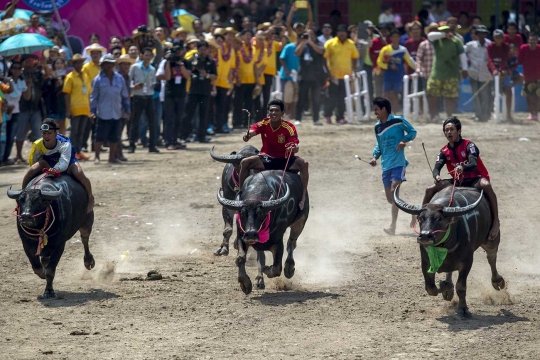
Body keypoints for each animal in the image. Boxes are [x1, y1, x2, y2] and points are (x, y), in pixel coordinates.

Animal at [392, 186, 506, 318]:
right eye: (420, 218)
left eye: (439, 218)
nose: (425, 236)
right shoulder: (425, 262)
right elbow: (430, 288)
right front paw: (447, 288)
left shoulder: (467, 262)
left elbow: (461, 287)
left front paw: (463, 309)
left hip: (492, 240)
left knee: (491, 257)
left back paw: (498, 281)